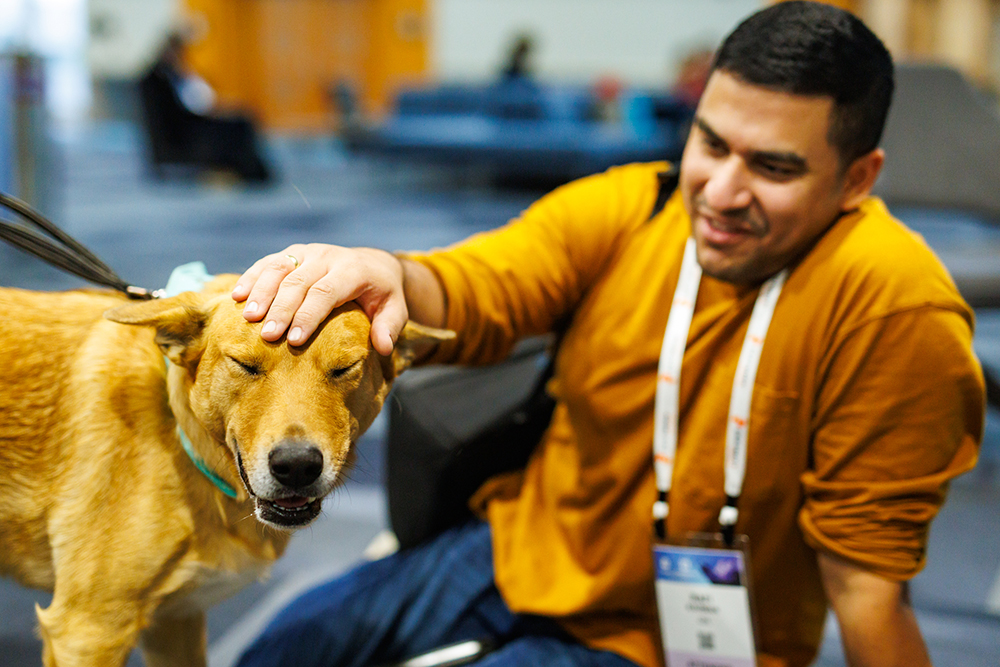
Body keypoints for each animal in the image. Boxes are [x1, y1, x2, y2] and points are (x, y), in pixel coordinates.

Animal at [0, 274, 450, 664]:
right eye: (244, 365)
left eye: (344, 368)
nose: (296, 466)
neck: (178, 434)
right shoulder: (88, 630)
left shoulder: (174, 620)